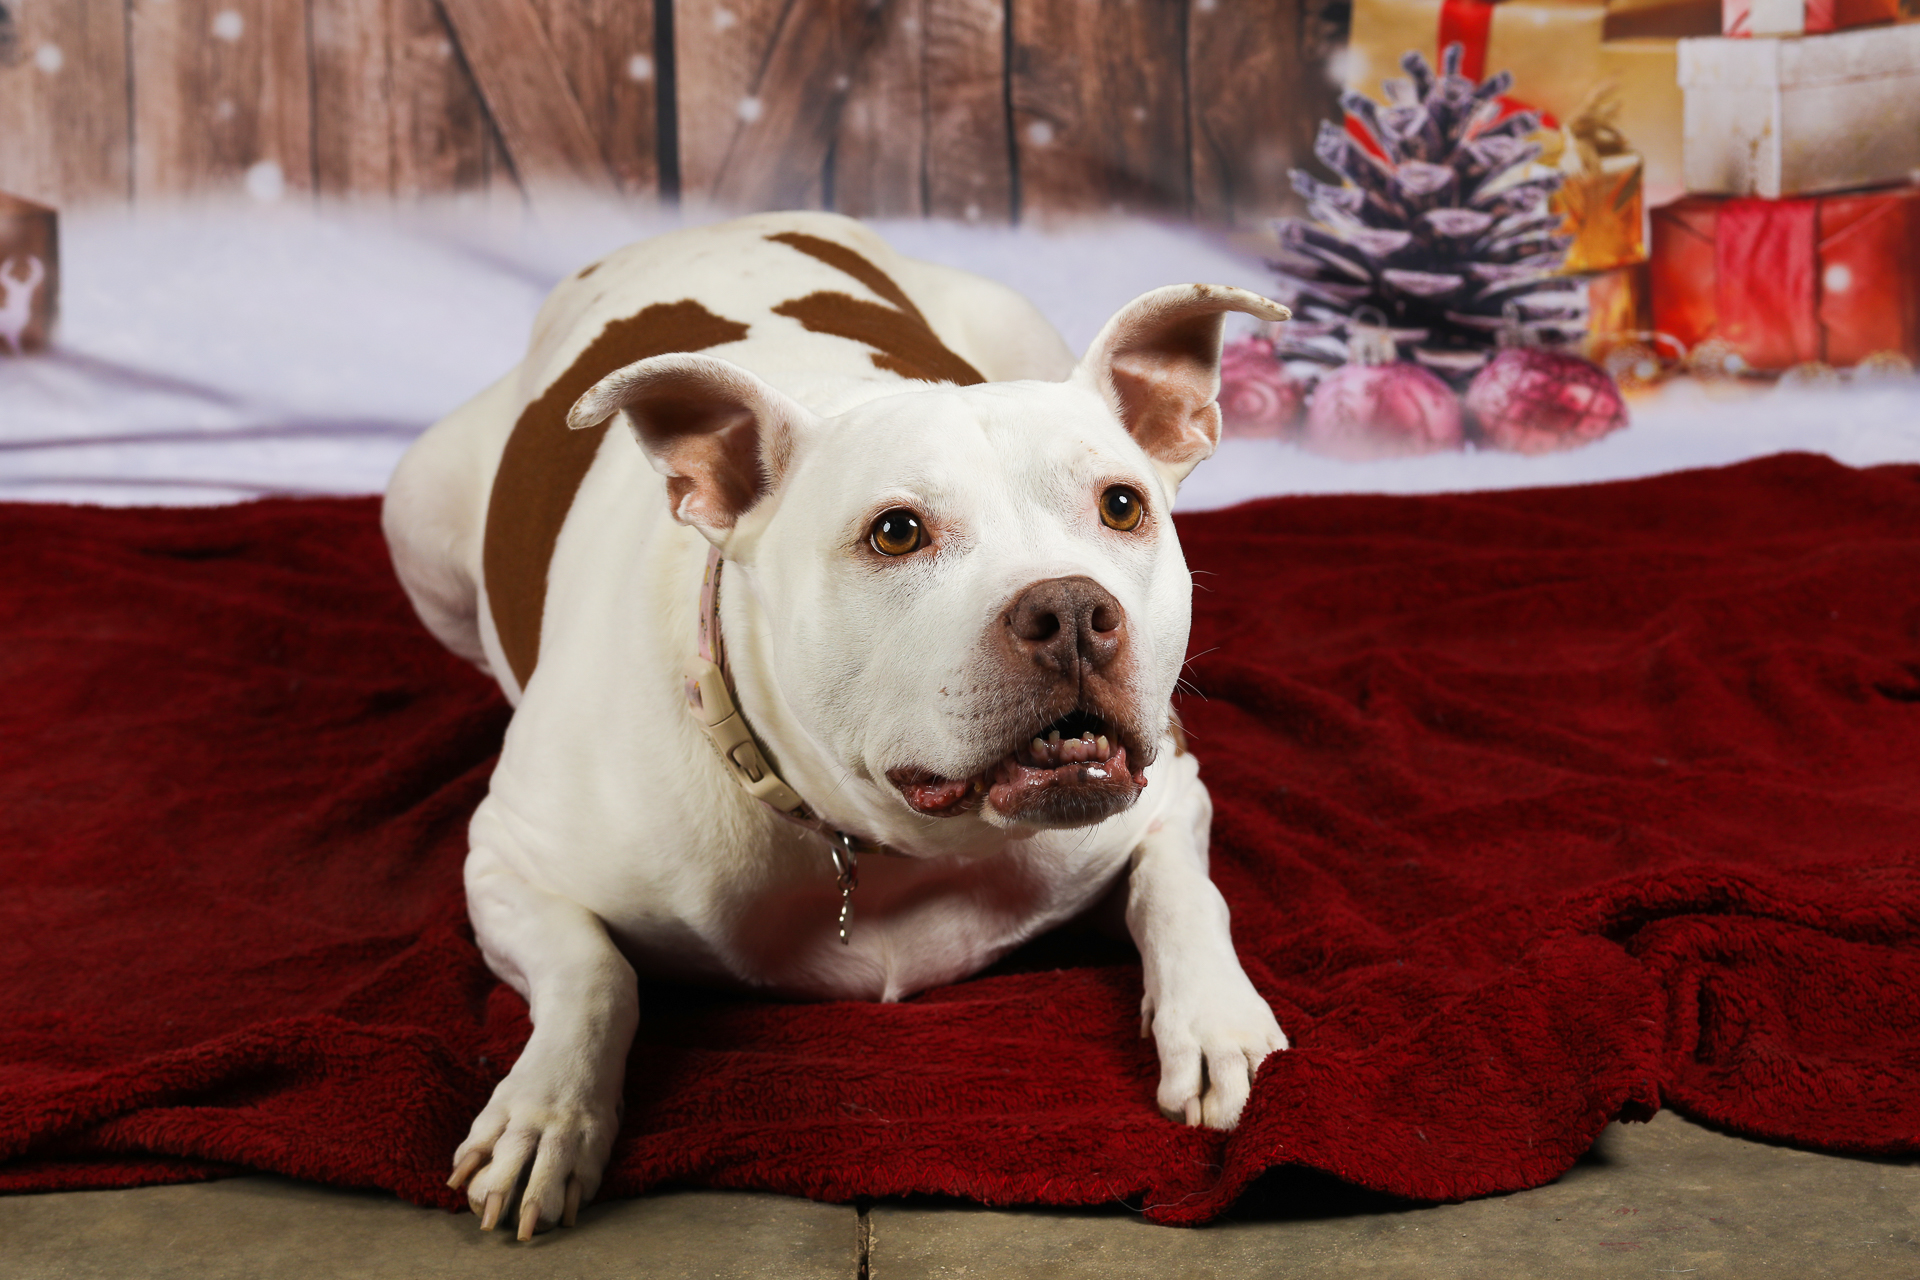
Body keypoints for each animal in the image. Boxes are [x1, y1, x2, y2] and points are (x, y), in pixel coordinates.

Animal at [383, 212, 1291, 1240]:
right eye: (896, 532)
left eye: (1122, 505)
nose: (1070, 610)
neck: (897, 845)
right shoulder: (506, 858)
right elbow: (594, 974)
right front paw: (547, 1113)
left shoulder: (1167, 783)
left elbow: (1182, 890)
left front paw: (1212, 1020)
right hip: (415, 510)